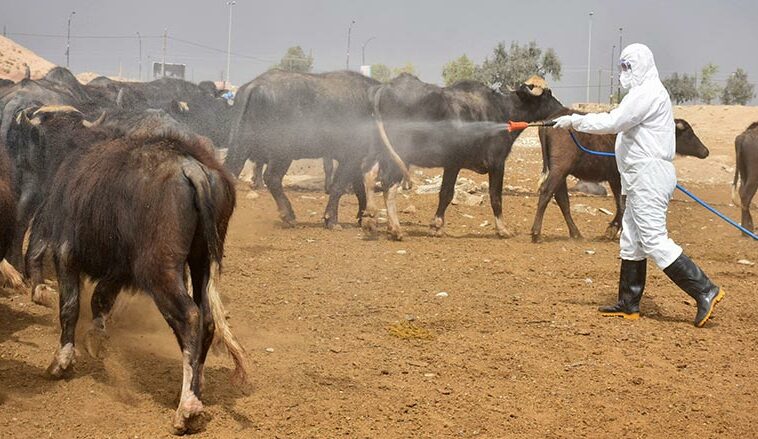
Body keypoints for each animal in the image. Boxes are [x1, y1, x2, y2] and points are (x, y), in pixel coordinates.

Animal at [18, 107, 249, 436]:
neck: (70, 155)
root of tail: (191, 167)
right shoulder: (119, 268)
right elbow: (100, 300)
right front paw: (96, 339)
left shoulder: (66, 253)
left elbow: (70, 307)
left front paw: (61, 362)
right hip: (201, 262)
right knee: (206, 320)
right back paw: (197, 387)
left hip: (160, 271)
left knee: (190, 317)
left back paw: (187, 408)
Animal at [224, 70, 380, 229]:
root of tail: (255, 85)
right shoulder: (352, 156)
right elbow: (339, 187)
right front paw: (332, 220)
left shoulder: (356, 159)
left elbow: (359, 189)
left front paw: (361, 217)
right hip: (282, 152)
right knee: (272, 178)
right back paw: (289, 216)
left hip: (241, 143)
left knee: (232, 171)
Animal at [360, 75, 564, 241]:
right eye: (548, 94)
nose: (562, 109)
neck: (503, 111)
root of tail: (384, 88)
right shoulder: (496, 163)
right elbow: (494, 196)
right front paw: (503, 230)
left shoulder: (452, 164)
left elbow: (445, 194)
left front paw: (436, 226)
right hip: (399, 155)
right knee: (388, 184)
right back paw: (395, 229)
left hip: (380, 151)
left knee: (369, 174)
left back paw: (370, 219)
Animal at [536, 112, 712, 244]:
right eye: (689, 133)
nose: (705, 151)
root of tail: (549, 125)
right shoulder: (620, 178)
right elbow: (623, 204)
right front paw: (613, 230)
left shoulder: (614, 179)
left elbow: (621, 204)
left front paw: (613, 230)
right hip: (560, 169)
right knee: (546, 192)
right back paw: (536, 234)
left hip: (561, 173)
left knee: (562, 200)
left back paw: (576, 234)